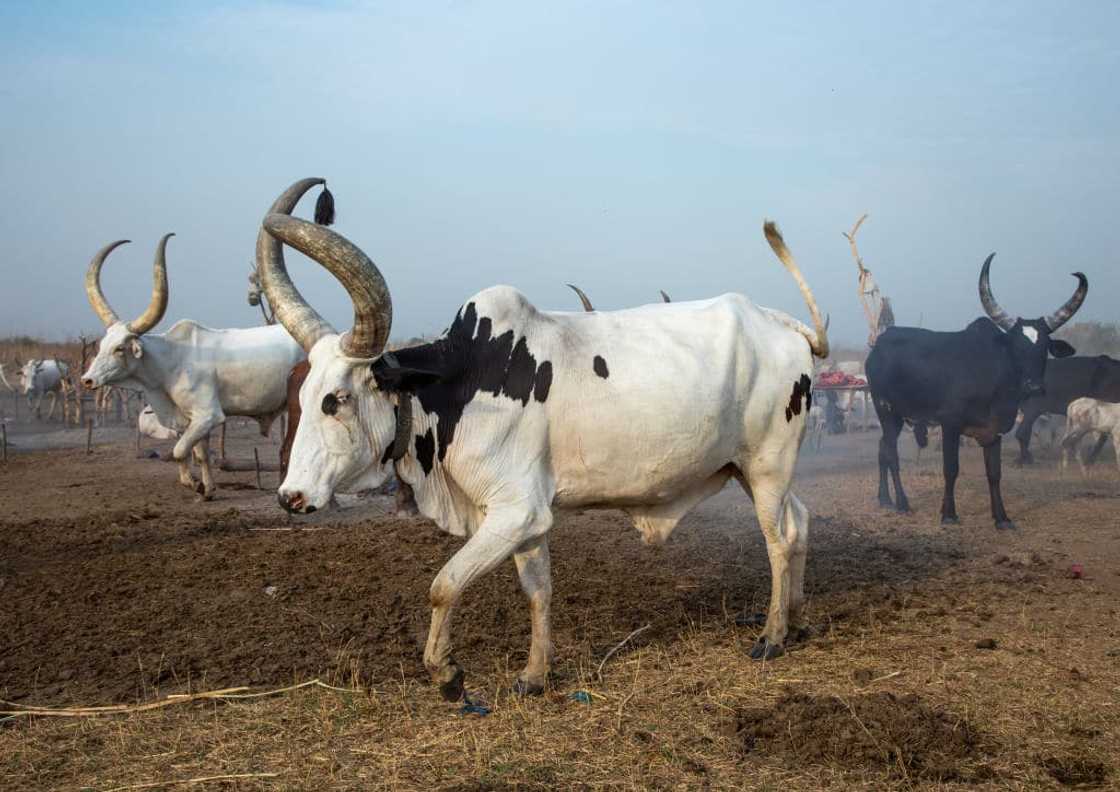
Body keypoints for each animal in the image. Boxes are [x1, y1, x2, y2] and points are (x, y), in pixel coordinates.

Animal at [81, 217, 307, 499]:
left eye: (120, 348)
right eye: (102, 345)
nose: (87, 380)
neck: (170, 361)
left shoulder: (208, 415)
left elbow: (179, 451)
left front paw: (194, 484)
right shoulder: (190, 420)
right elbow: (199, 455)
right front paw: (207, 489)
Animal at [257, 181, 829, 700]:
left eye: (337, 399)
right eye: (302, 395)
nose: (291, 497)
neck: (457, 383)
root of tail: (780, 325)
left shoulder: (516, 513)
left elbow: (444, 585)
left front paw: (447, 674)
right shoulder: (527, 521)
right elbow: (538, 591)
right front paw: (534, 675)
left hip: (767, 467)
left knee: (778, 539)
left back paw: (772, 636)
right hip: (750, 470)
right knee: (800, 521)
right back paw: (798, 618)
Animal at [866, 254, 1086, 529]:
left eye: (1044, 347)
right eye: (1015, 346)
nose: (1034, 387)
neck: (993, 381)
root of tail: (878, 345)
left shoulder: (995, 431)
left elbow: (994, 473)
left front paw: (1002, 518)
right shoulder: (950, 425)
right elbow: (951, 469)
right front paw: (949, 514)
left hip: (896, 416)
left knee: (882, 448)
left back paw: (884, 498)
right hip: (884, 409)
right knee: (892, 454)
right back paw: (902, 503)